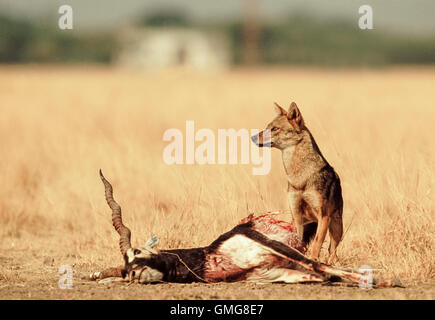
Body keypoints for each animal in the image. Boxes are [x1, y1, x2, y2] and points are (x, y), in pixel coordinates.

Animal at [91, 171, 402, 286]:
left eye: (137, 252)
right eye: (124, 272)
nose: (135, 274)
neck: (212, 256)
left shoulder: (275, 247)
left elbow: (322, 265)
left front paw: (388, 281)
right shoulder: (275, 273)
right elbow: (322, 275)